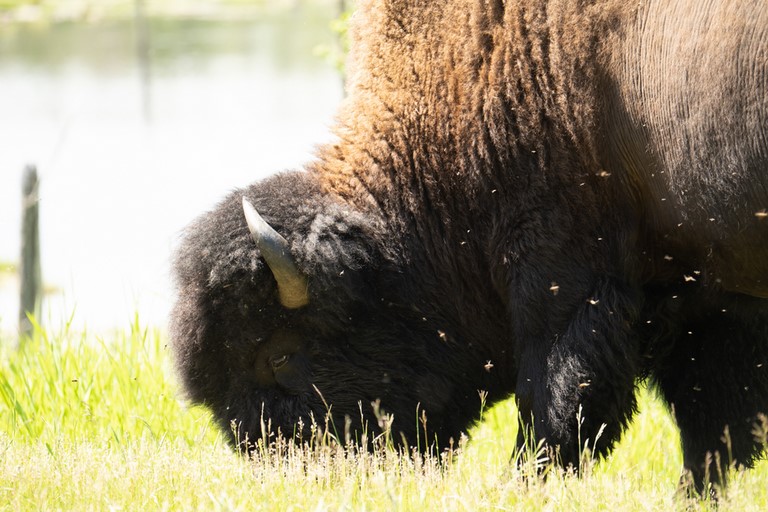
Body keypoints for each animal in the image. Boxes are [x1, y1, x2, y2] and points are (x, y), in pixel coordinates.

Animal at [171, 0, 768, 492]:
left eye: (279, 355)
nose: (296, 476)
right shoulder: (708, 290)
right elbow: (714, 423)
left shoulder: (562, 275)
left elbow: (556, 400)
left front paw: (524, 483)